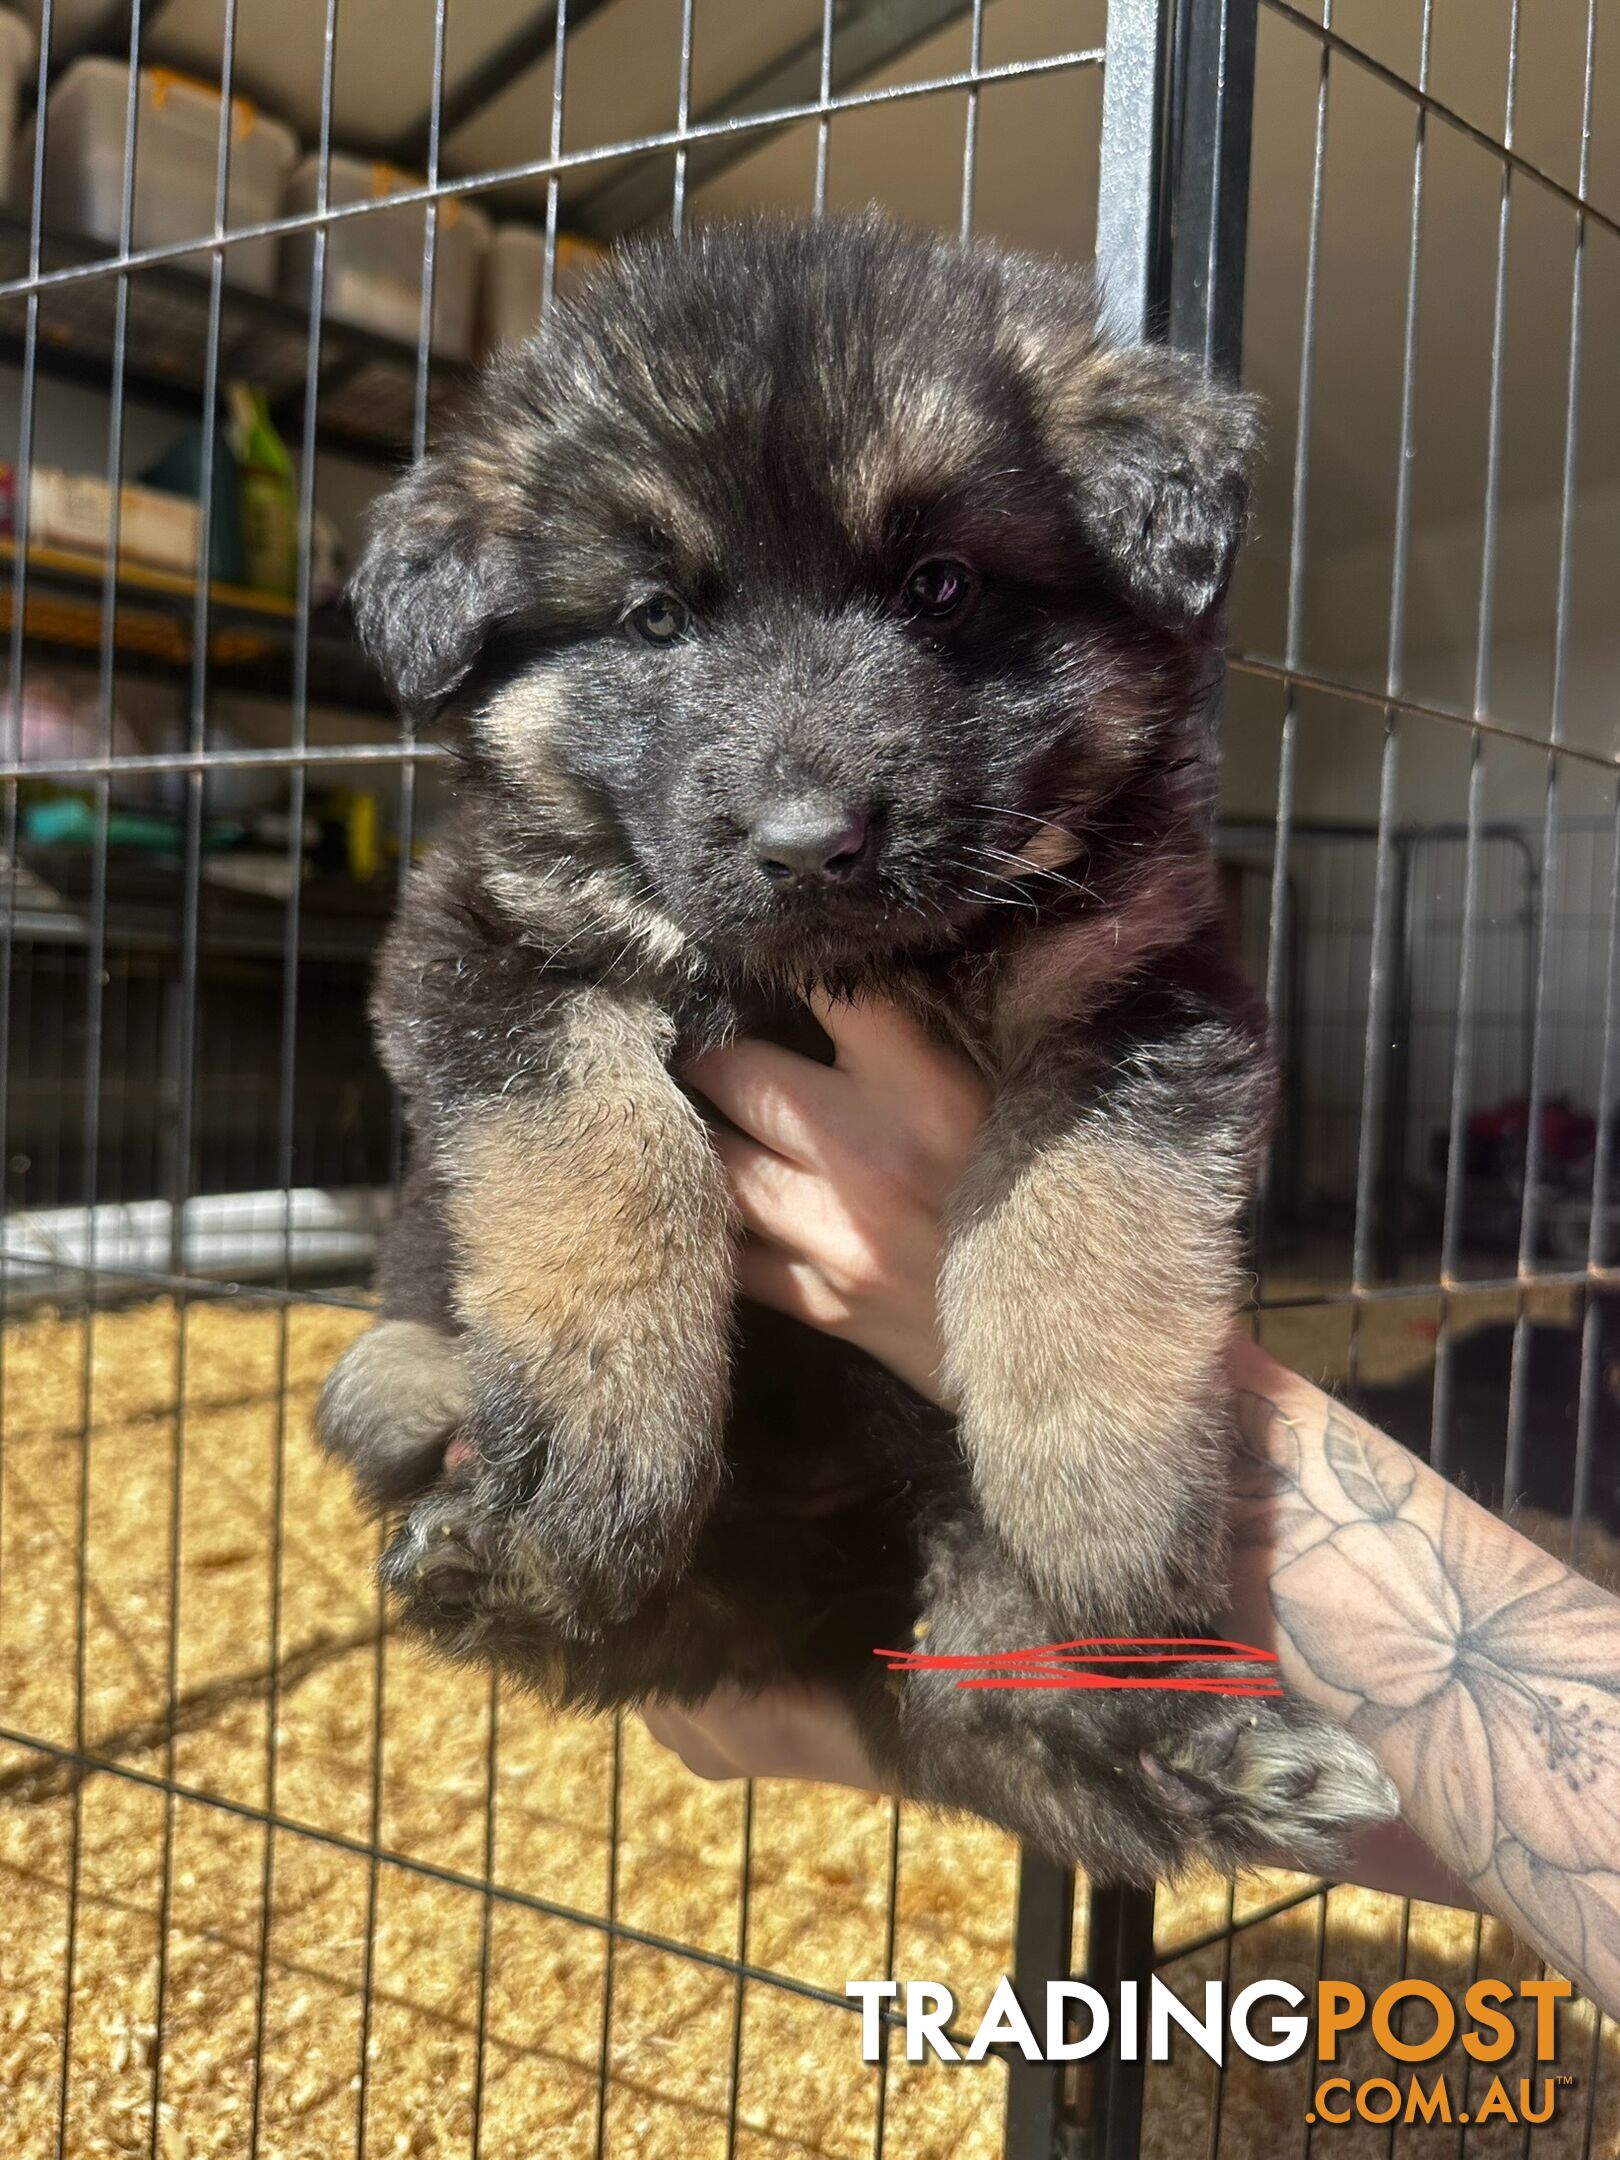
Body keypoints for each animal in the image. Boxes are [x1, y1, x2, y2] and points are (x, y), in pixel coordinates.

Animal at [317, 210, 1399, 1883]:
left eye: (942, 586)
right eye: (655, 617)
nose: (807, 843)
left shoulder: (1145, 996)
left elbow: (1074, 1229)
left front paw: (1101, 1501)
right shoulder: (492, 950)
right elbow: (606, 1171)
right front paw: (597, 1450)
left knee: (983, 1699)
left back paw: (1221, 1748)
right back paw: (493, 1554)